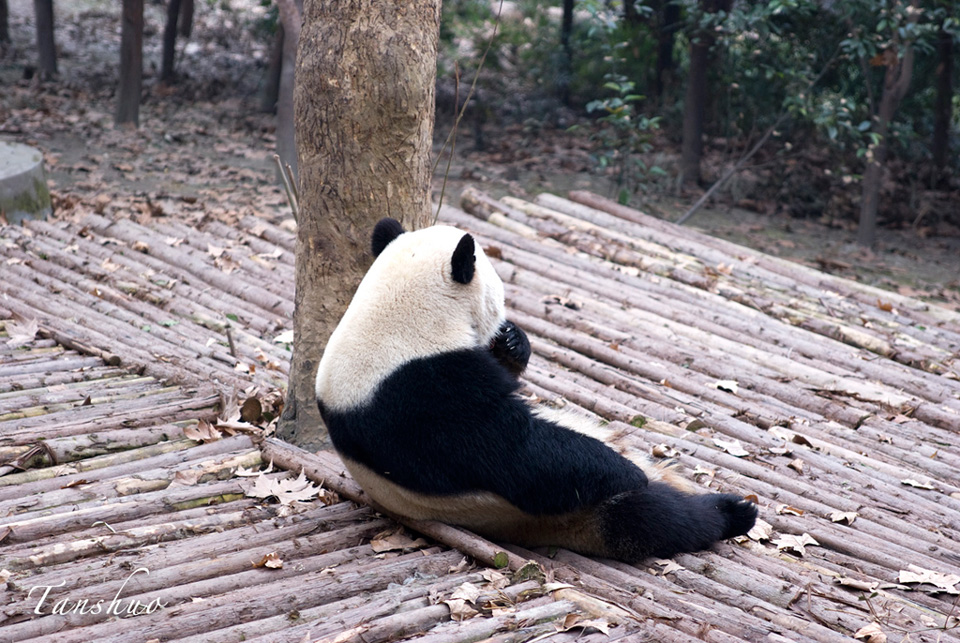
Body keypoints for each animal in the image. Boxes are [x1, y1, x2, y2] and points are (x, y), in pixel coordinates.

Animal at [316, 218, 756, 564]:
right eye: (499, 293)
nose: (505, 324)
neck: (393, 314)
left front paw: (513, 342)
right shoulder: (423, 395)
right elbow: (517, 453)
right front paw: (624, 470)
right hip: (565, 514)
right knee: (651, 519)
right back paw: (731, 511)